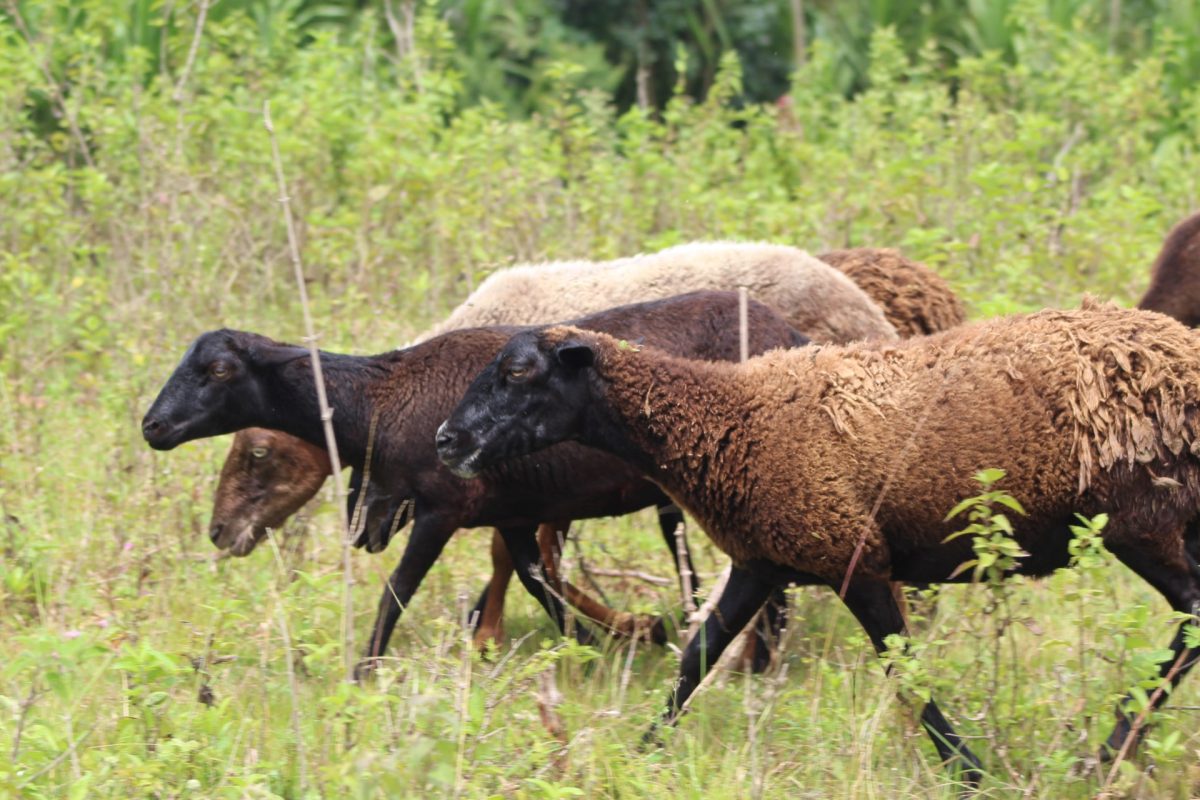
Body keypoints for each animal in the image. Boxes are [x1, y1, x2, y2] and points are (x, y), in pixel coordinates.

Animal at [142, 291, 809, 672]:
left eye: (217, 370)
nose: (151, 426)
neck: (380, 398)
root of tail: (794, 333)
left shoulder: (442, 506)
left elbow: (397, 592)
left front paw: (363, 673)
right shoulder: (514, 510)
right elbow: (539, 581)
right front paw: (594, 648)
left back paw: (760, 659)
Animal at [435, 300, 1200, 784]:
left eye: (518, 371)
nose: (446, 440)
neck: (729, 419)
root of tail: (1181, 354)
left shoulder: (855, 558)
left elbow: (904, 671)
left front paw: (971, 772)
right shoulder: (761, 562)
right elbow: (695, 658)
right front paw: (640, 751)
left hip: (1143, 519)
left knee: (1192, 618)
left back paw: (1106, 752)